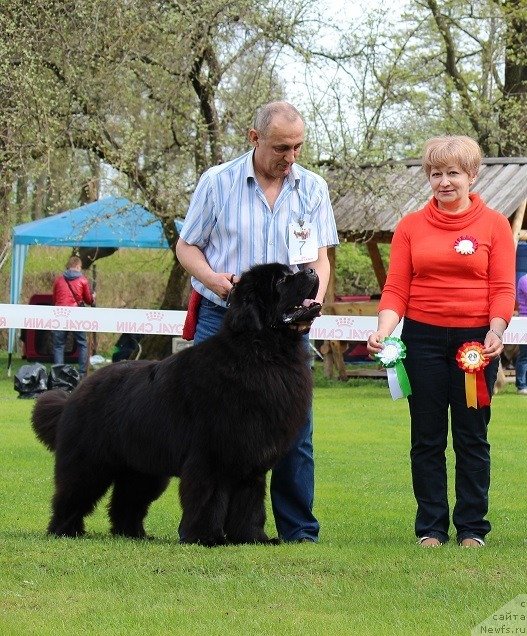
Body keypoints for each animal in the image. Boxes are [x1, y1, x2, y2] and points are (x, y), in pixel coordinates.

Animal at [35, 264, 322, 548]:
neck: (264, 352)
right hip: (90, 461)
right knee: (72, 494)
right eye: (281, 280)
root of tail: (77, 391)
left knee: (127, 500)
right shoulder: (211, 457)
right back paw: (65, 530)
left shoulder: (251, 460)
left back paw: (133, 533)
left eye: (293, 271)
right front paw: (208, 538)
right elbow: (210, 499)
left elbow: (250, 504)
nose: (311, 271)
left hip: (143, 467)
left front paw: (252, 538)